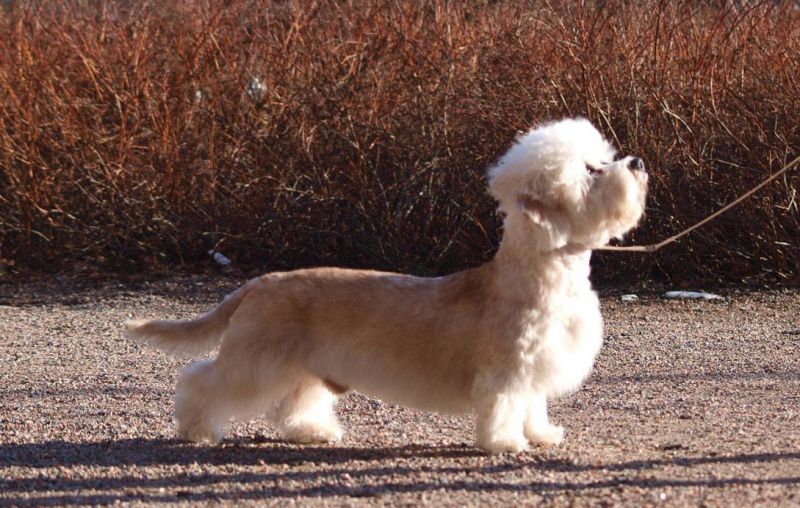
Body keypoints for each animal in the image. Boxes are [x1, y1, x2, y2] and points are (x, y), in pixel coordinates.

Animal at [126, 118, 648, 452]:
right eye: (590, 171)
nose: (638, 162)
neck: (543, 272)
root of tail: (260, 282)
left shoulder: (535, 369)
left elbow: (532, 405)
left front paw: (541, 434)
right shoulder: (506, 371)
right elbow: (503, 406)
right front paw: (505, 444)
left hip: (303, 366)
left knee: (294, 402)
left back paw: (312, 432)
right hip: (256, 361)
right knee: (202, 379)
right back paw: (197, 429)